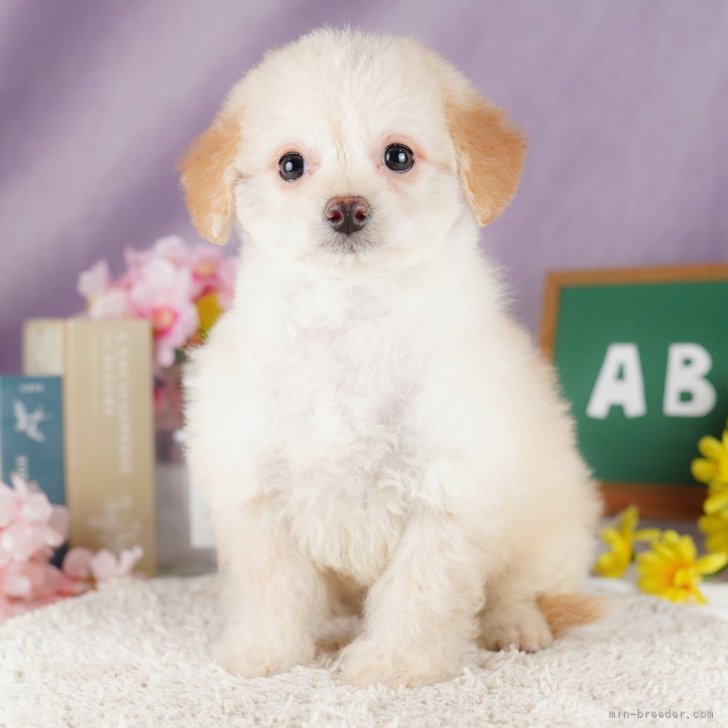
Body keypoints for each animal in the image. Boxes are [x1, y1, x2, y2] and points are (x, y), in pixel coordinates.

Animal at [181, 28, 604, 688]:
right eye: (290, 165)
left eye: (398, 157)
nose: (346, 209)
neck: (353, 316)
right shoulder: (255, 486)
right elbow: (270, 586)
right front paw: (263, 652)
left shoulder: (449, 485)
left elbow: (421, 589)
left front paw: (395, 665)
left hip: (551, 529)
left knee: (519, 588)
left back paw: (515, 626)